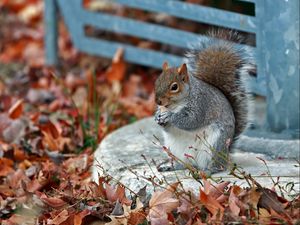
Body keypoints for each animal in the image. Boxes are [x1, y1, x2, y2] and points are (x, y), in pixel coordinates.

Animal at [155, 29, 253, 174]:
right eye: (157, 81)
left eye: (174, 87)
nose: (158, 101)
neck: (175, 105)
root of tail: (226, 155)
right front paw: (157, 117)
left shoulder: (202, 104)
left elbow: (191, 120)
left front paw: (170, 116)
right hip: (174, 149)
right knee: (183, 164)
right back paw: (170, 166)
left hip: (215, 145)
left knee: (216, 165)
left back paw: (208, 170)